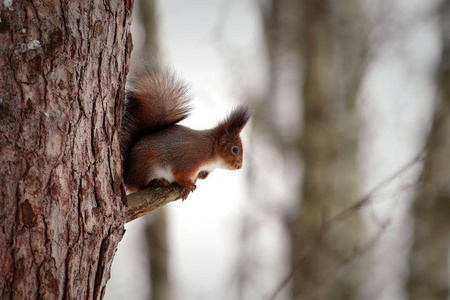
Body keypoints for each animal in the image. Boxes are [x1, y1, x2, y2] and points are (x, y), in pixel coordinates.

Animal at [121, 65, 251, 199]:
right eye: (235, 149)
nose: (239, 167)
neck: (211, 151)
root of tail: (127, 177)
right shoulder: (188, 160)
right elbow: (179, 175)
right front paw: (187, 185)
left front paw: (202, 175)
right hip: (146, 166)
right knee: (140, 185)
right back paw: (158, 181)